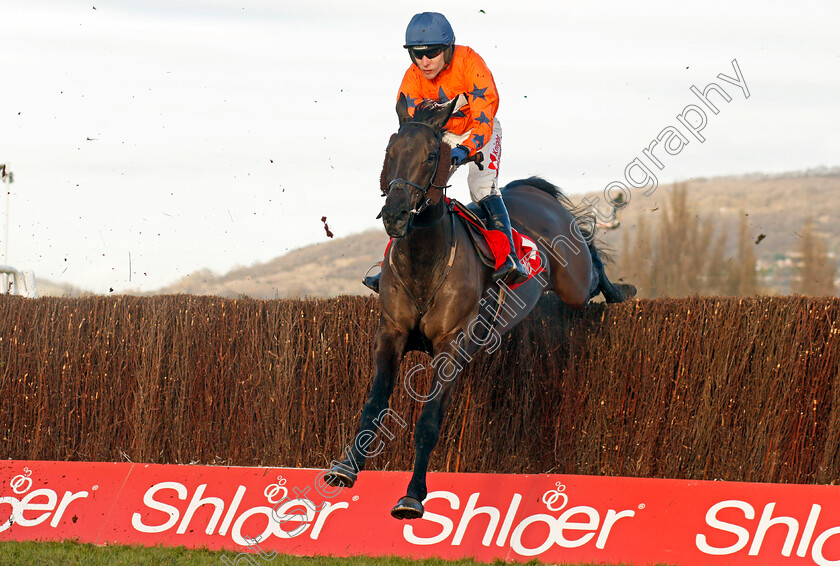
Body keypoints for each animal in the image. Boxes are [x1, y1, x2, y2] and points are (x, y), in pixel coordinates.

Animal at [322, 95, 632, 520]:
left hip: (573, 280)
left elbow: (429, 421)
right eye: (390, 151)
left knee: (589, 256)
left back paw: (619, 289)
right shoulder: (391, 333)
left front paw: (412, 496)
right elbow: (375, 402)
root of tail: (533, 192)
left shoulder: (452, 346)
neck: (425, 259)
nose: (396, 214)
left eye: (431, 155)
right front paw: (346, 467)